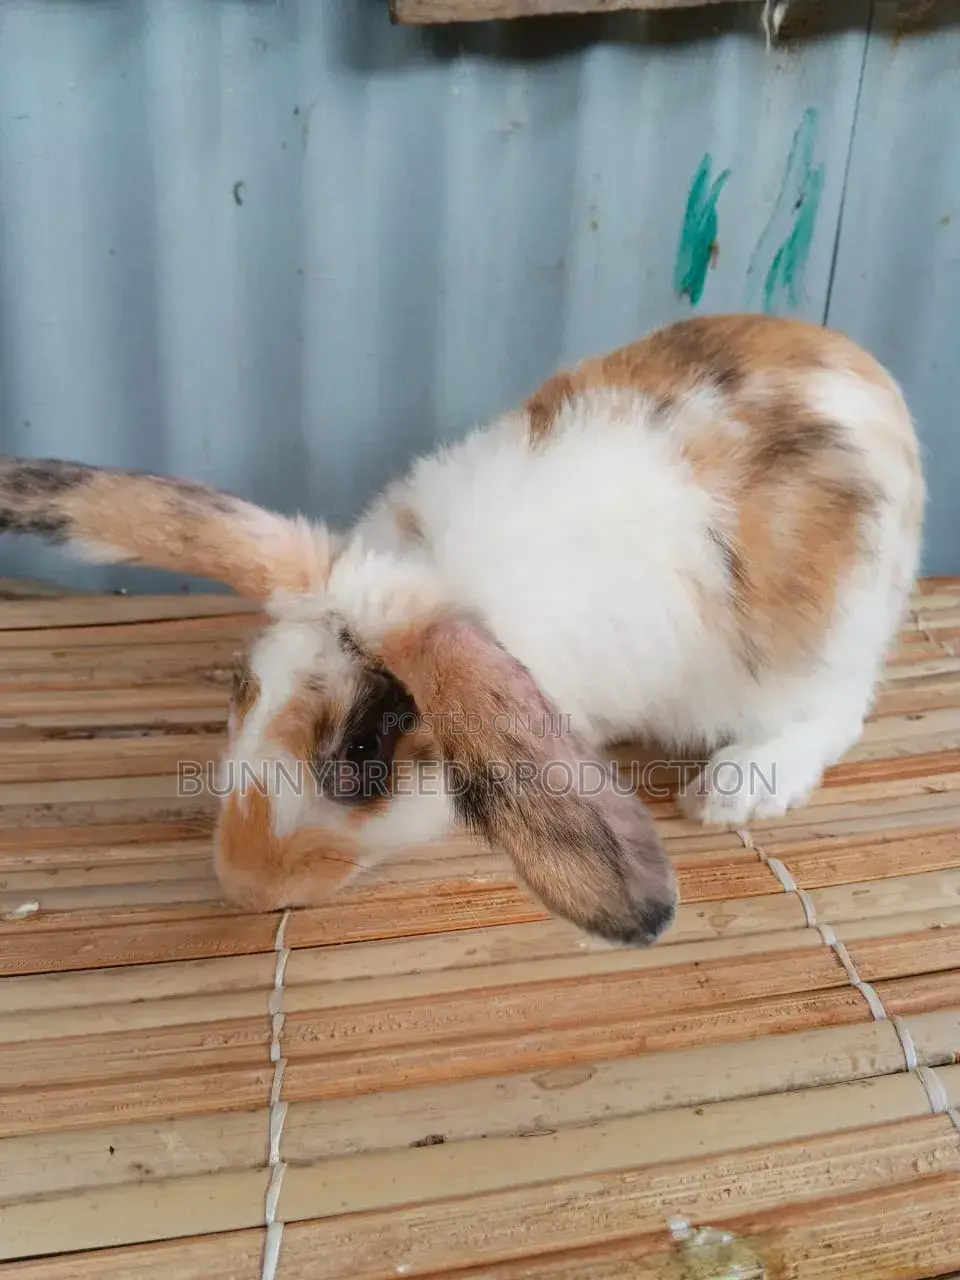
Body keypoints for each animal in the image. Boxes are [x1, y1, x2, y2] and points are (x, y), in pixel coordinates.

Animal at [0, 314, 924, 948]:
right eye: (243, 686)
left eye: (363, 752)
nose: (241, 883)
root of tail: (873, 377)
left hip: (831, 644)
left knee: (836, 713)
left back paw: (733, 790)